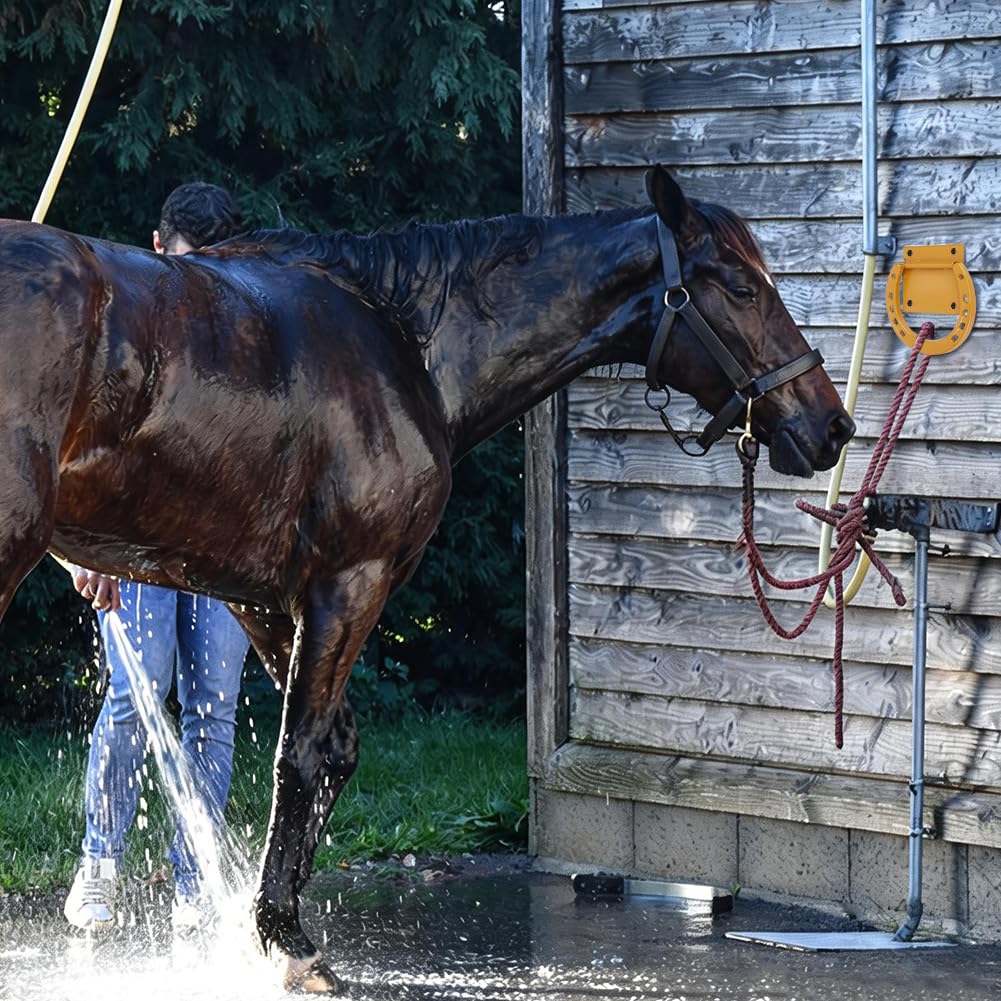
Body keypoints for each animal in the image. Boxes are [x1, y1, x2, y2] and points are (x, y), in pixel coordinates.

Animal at [0, 167, 853, 992]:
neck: (403, 338)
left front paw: (271, 926)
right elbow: (303, 753)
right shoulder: (347, 582)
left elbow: (332, 748)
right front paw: (284, 938)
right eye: (740, 287)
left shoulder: (258, 600)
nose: (831, 426)